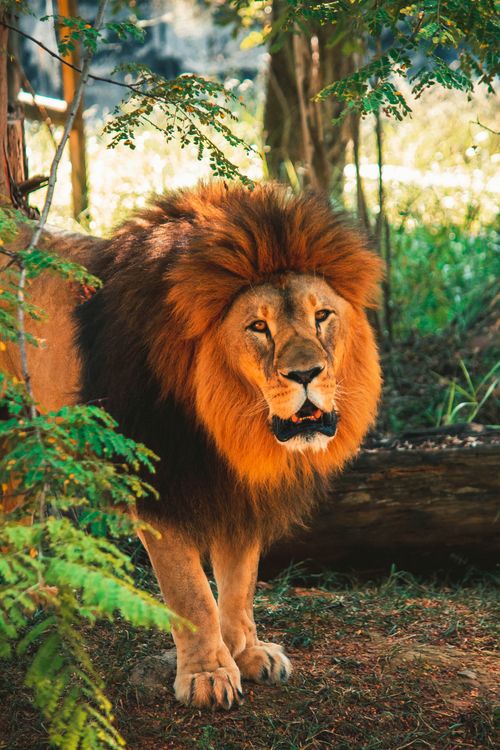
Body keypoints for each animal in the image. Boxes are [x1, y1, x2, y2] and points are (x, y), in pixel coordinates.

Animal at [1, 182, 382, 709]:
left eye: (322, 316)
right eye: (258, 327)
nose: (306, 374)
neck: (227, 425)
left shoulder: (238, 491)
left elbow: (240, 584)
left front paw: (248, 654)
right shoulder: (163, 488)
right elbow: (191, 594)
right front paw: (208, 675)